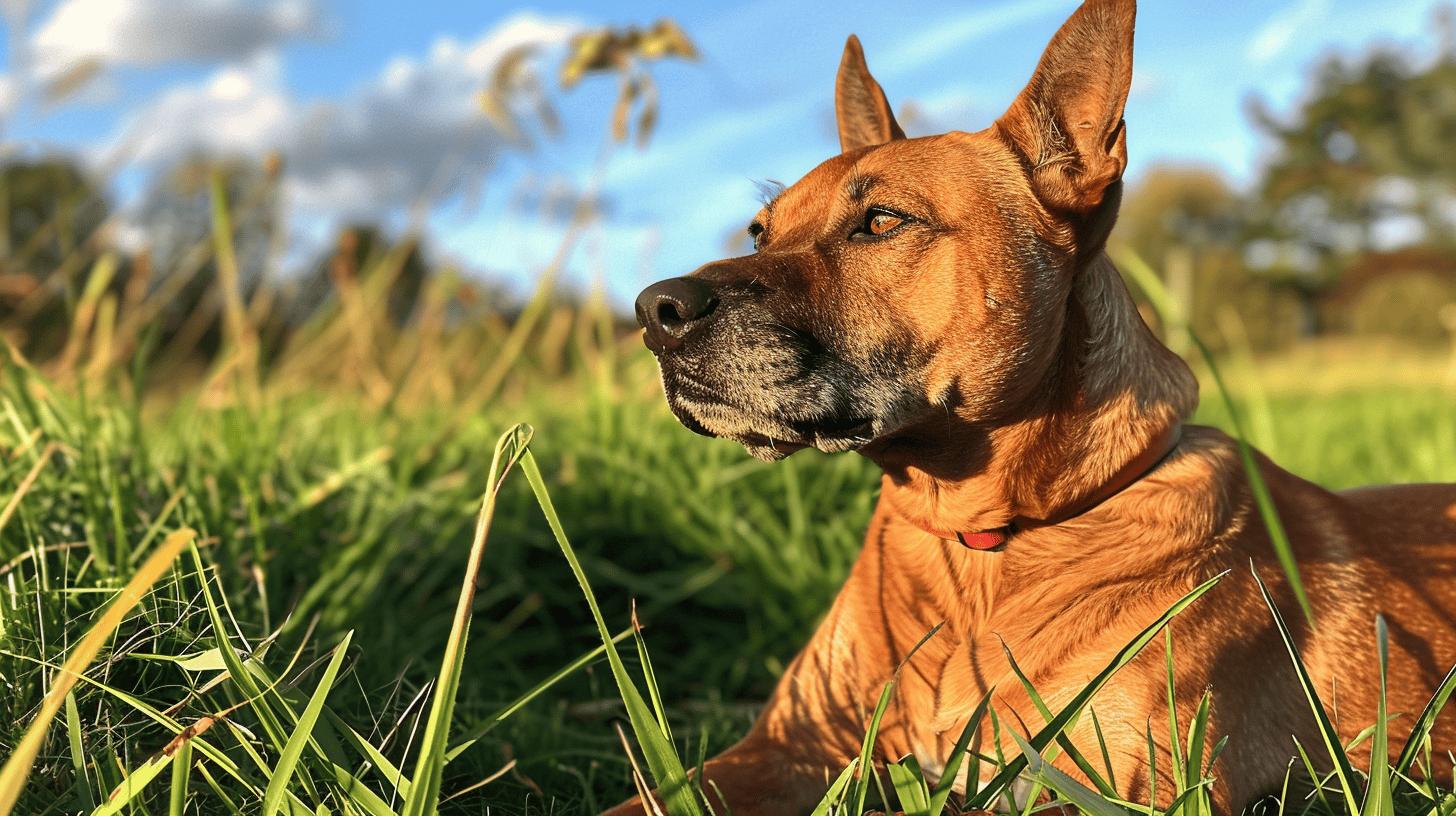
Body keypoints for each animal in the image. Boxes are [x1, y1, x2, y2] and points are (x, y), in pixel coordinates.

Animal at [608, 3, 1456, 810]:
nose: (655, 312)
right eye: (759, 232)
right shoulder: (783, 748)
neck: (978, 544)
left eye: (881, 222)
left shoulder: (1123, 790)